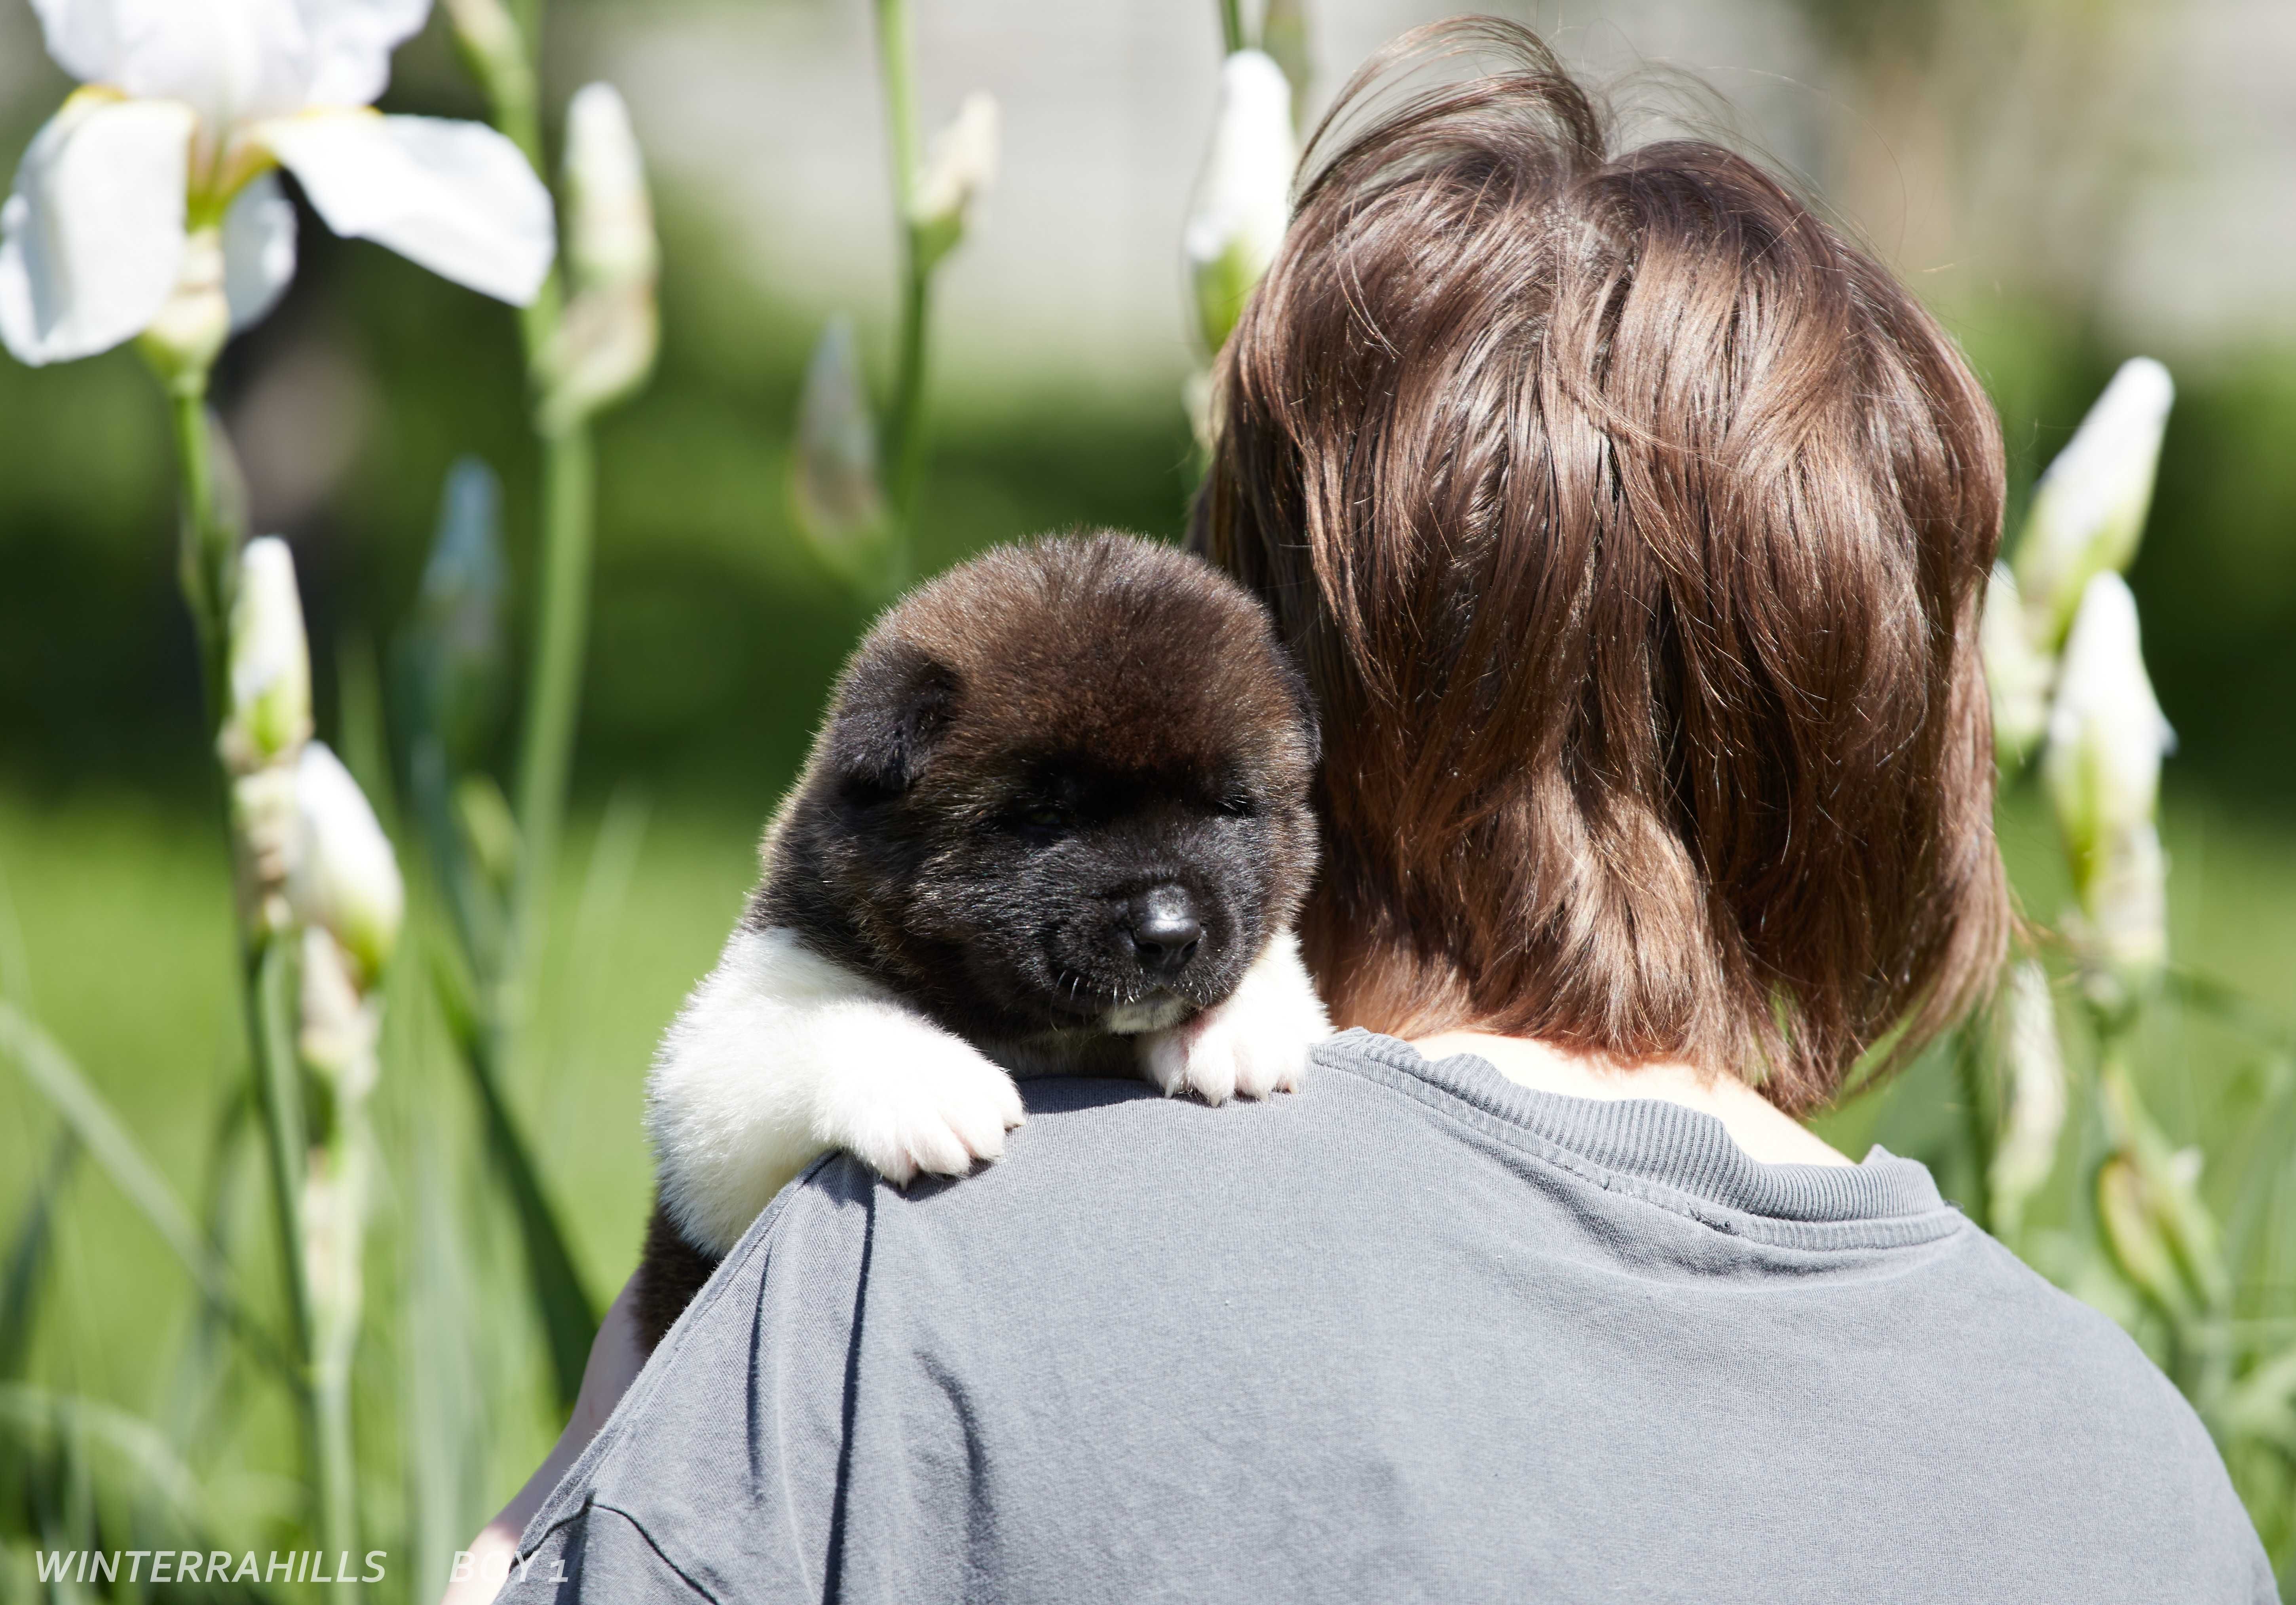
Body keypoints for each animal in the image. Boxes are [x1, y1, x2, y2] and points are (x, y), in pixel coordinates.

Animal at [638, 533, 1341, 1350]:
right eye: (1046, 817)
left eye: (1230, 807)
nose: (1169, 933)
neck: (1048, 1038)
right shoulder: (719, 1091)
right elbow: (818, 1025)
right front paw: (932, 1086)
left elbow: (1275, 956)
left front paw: (1235, 1028)